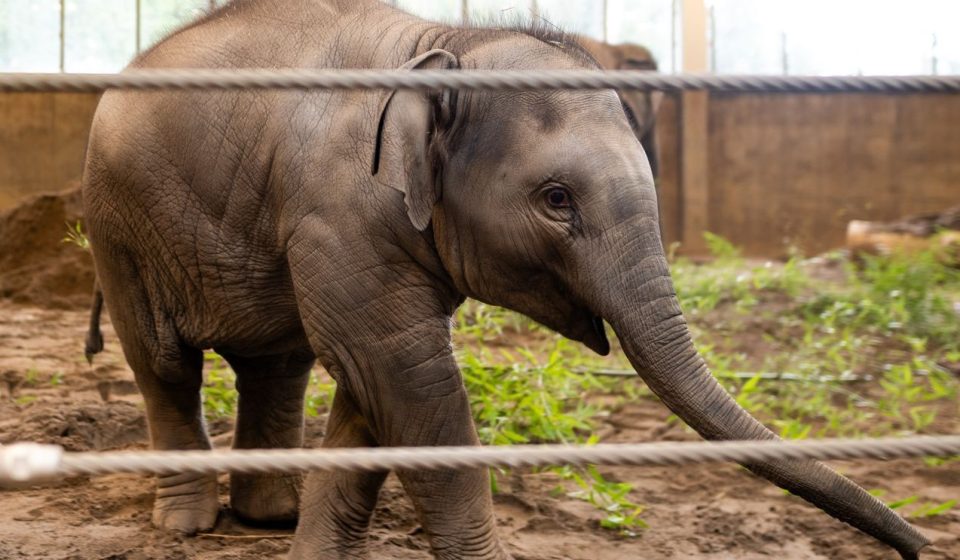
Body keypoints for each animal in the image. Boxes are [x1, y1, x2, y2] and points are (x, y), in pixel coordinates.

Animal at [80, 0, 928, 558]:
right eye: (556, 200)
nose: (917, 545)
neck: (446, 44)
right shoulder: (338, 212)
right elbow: (407, 375)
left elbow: (371, 387)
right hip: (116, 222)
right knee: (163, 364)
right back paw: (188, 525)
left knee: (277, 365)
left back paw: (270, 517)